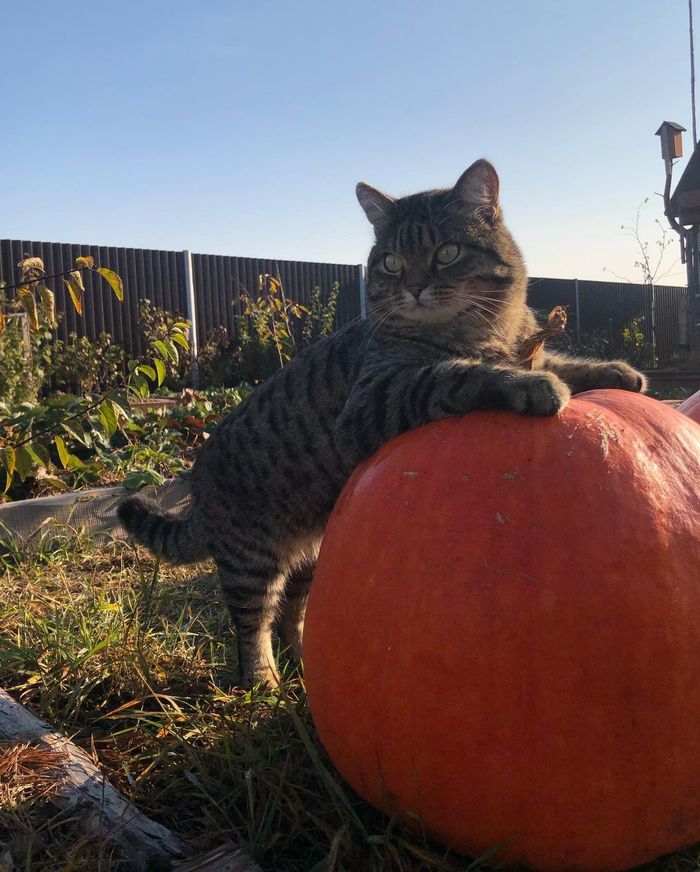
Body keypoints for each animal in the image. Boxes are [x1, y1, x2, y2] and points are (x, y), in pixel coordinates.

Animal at [119, 158, 644, 688]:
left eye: (446, 252)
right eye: (391, 261)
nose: (413, 286)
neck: (486, 332)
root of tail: (199, 482)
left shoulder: (523, 346)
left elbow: (560, 361)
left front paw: (616, 373)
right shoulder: (376, 396)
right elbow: (457, 374)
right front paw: (530, 386)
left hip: (310, 556)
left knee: (291, 613)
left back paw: (303, 666)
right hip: (252, 559)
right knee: (252, 628)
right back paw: (265, 682)